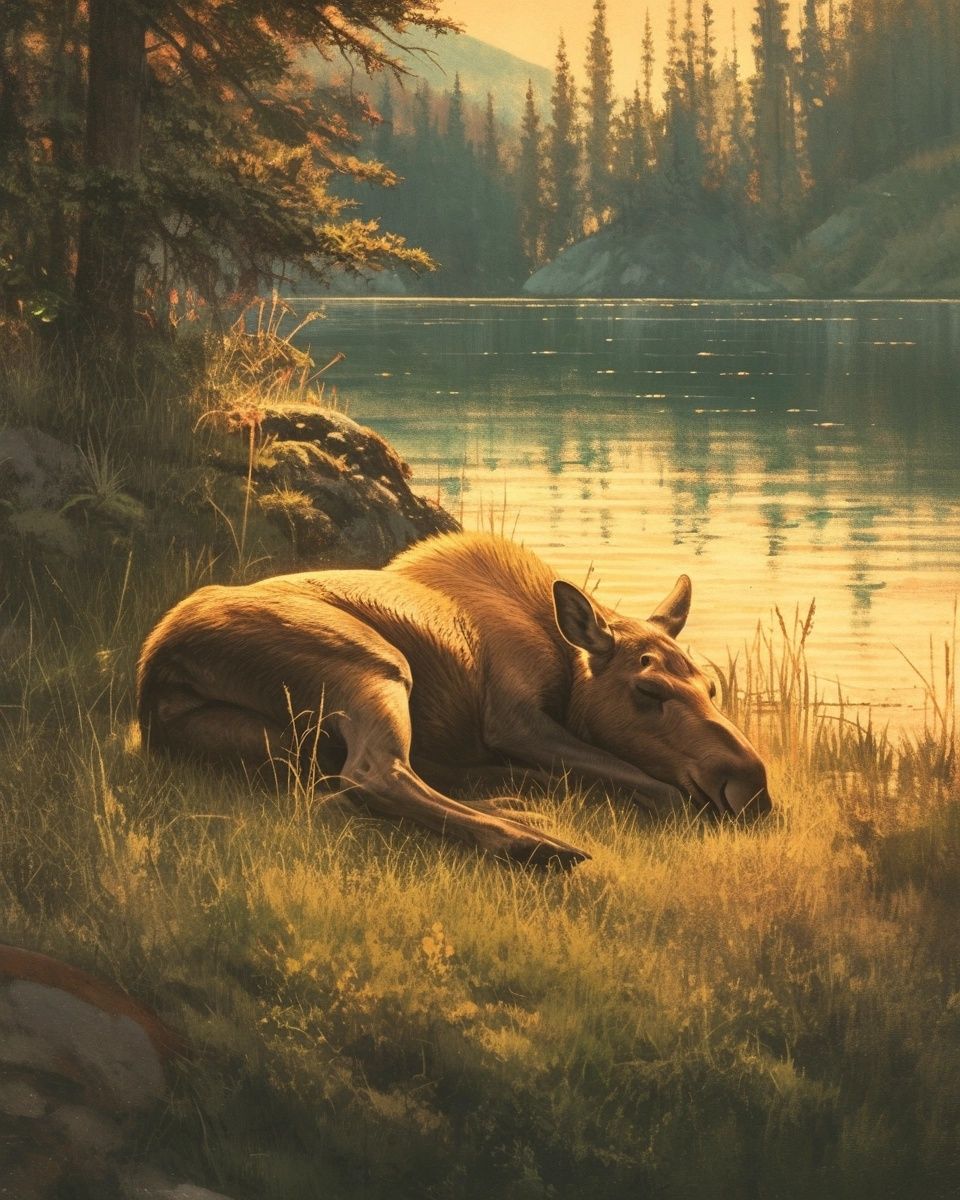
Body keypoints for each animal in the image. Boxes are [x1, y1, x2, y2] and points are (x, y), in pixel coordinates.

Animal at [137, 532, 773, 869]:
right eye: (647, 689)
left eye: (712, 688)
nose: (752, 785)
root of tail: (156, 666)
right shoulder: (514, 719)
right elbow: (658, 788)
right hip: (372, 665)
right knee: (373, 773)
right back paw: (536, 844)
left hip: (282, 741)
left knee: (338, 790)